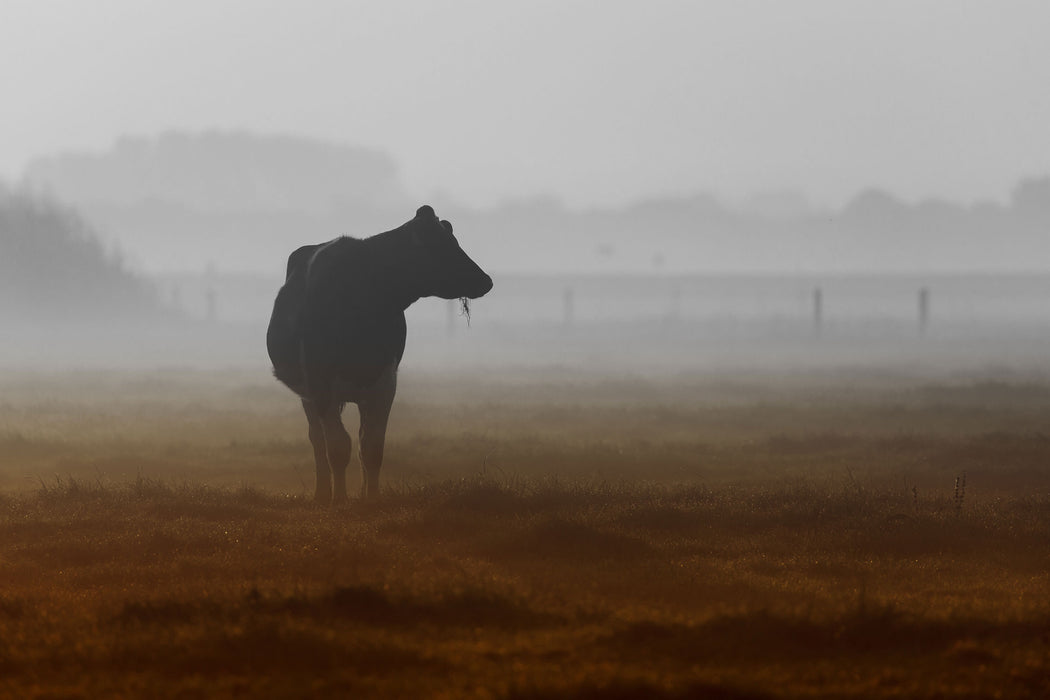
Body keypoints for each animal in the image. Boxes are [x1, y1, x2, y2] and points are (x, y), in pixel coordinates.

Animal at [262, 203, 491, 503]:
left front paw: (371, 498)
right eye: (441, 246)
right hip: (308, 394)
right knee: (317, 440)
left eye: (454, 241)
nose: (486, 280)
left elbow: (371, 447)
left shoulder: (384, 381)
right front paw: (339, 499)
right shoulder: (320, 383)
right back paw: (323, 492)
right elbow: (337, 447)